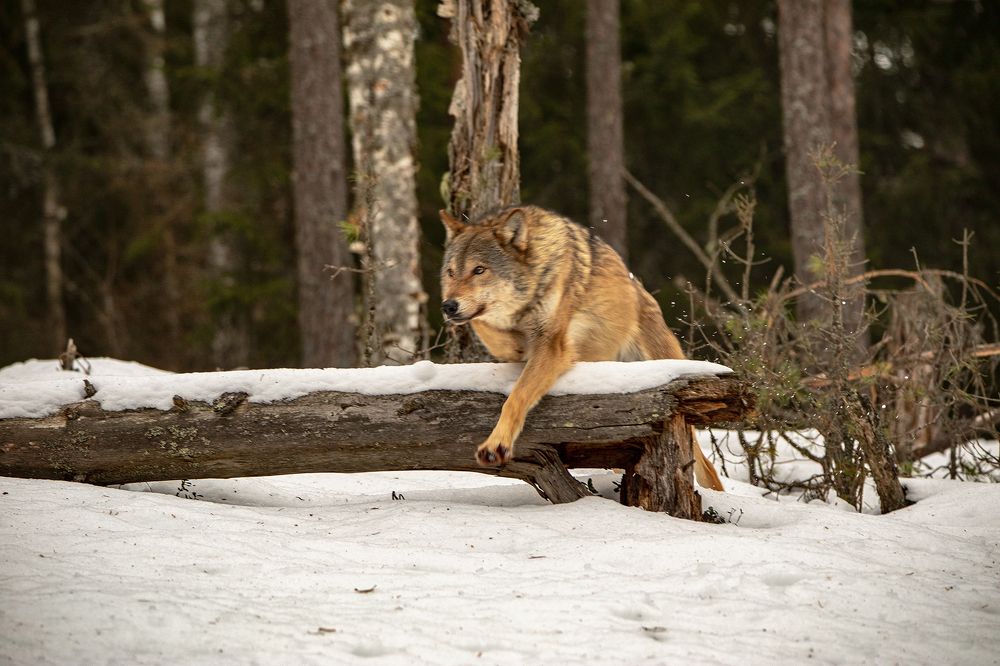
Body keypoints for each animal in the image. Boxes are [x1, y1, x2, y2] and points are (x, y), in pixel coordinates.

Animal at [440, 205, 725, 491]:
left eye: (479, 270)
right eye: (451, 272)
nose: (448, 306)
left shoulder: (553, 348)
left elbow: (515, 399)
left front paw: (495, 446)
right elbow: (487, 328)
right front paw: (514, 340)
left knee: (707, 468)